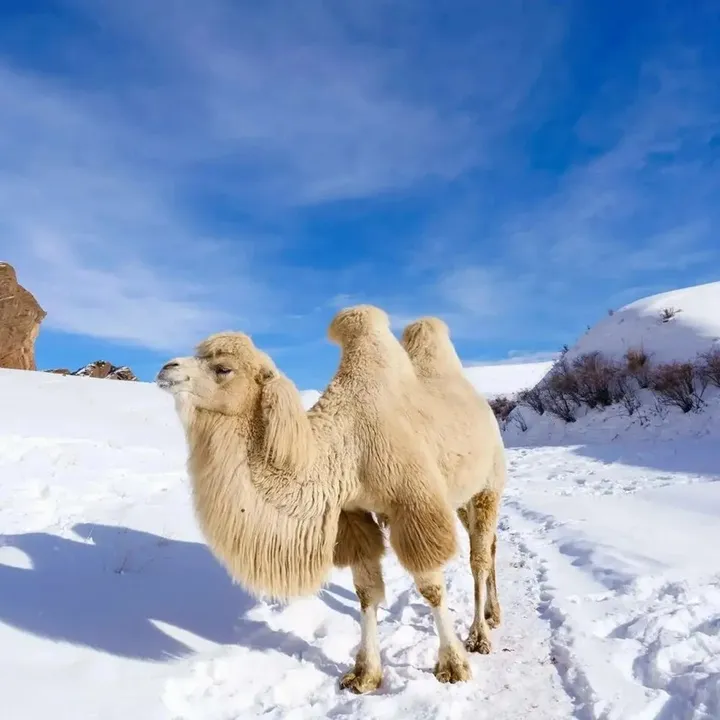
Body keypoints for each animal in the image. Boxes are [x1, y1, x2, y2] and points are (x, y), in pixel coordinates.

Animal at [155, 305, 506, 692]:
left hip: (488, 486)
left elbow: (431, 589)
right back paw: (492, 614)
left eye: (223, 368)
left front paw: (453, 665)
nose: (166, 368)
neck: (349, 446)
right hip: (459, 499)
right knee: (490, 547)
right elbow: (366, 591)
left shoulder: (414, 505)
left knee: (478, 558)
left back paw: (479, 635)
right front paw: (364, 674)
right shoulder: (352, 512)